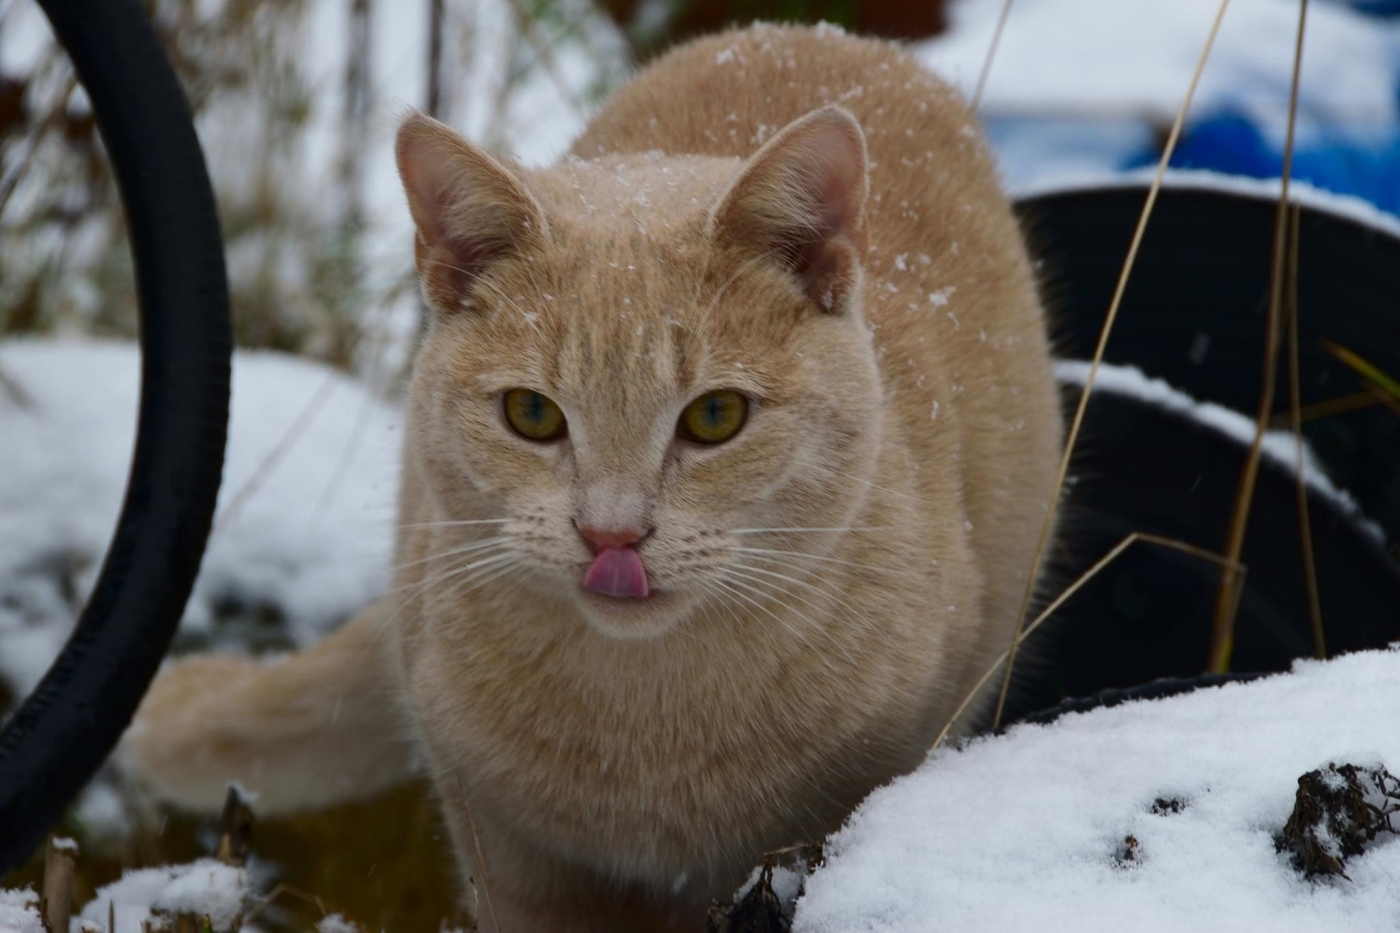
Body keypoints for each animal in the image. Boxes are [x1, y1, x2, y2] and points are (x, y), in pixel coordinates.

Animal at [123, 22, 1063, 933]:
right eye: (532, 414)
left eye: (714, 416)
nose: (613, 533)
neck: (646, 736)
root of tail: (815, 32)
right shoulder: (503, 851)